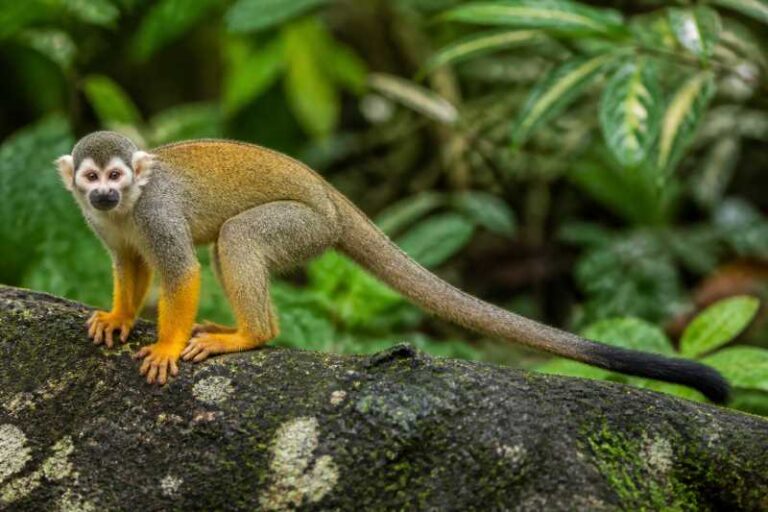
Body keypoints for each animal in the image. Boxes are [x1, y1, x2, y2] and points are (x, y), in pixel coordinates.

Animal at [55, 131, 729, 403]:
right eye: (91, 179)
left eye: (117, 176)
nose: (105, 194)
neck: (129, 207)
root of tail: (328, 192)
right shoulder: (100, 224)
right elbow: (129, 264)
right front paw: (118, 317)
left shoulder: (155, 211)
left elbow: (180, 272)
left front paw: (164, 347)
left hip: (305, 225)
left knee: (237, 236)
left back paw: (251, 335)